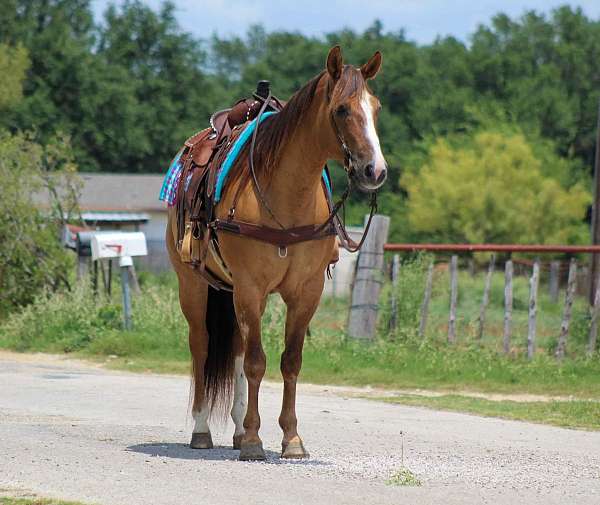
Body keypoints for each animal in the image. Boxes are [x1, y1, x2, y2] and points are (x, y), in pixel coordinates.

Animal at [166, 45, 386, 458]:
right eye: (342, 110)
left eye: (376, 107)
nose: (375, 171)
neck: (287, 199)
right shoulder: (251, 287)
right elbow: (256, 362)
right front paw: (255, 440)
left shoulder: (306, 292)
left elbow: (290, 361)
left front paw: (291, 438)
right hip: (194, 285)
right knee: (201, 346)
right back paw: (203, 430)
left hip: (232, 291)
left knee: (236, 347)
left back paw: (236, 429)